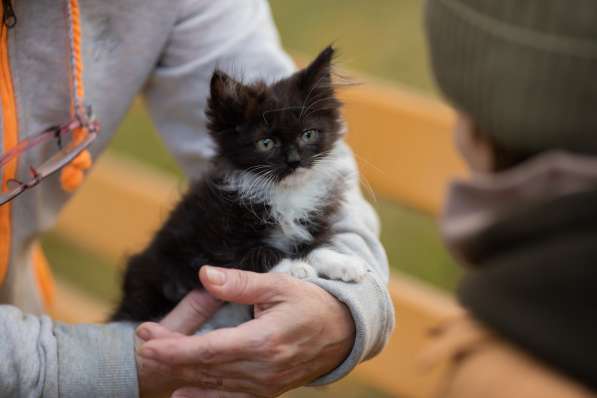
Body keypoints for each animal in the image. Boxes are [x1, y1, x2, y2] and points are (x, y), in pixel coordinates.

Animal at [109, 46, 366, 322]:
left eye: (308, 135)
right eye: (266, 143)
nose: (294, 160)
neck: (283, 192)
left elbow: (314, 245)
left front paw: (342, 263)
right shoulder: (213, 240)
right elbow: (257, 252)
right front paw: (294, 267)